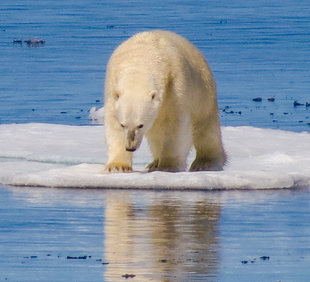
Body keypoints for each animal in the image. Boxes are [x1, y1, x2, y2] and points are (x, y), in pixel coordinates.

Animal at [103, 30, 226, 172]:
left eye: (141, 125)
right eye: (123, 124)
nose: (130, 147)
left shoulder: (174, 86)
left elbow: (175, 126)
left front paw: (168, 166)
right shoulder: (112, 89)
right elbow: (113, 125)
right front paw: (117, 166)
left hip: (203, 92)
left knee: (205, 128)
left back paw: (205, 162)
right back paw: (154, 163)